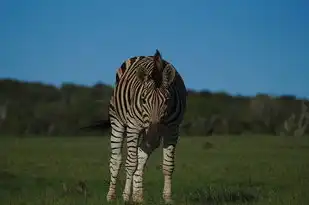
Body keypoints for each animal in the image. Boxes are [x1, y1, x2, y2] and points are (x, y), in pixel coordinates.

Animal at [82, 49, 185, 203]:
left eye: (167, 101)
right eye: (143, 100)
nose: (154, 134)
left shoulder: (172, 129)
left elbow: (168, 165)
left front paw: (167, 198)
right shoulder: (134, 127)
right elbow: (130, 163)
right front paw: (125, 197)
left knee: (140, 157)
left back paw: (138, 196)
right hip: (118, 123)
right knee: (116, 160)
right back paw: (112, 196)